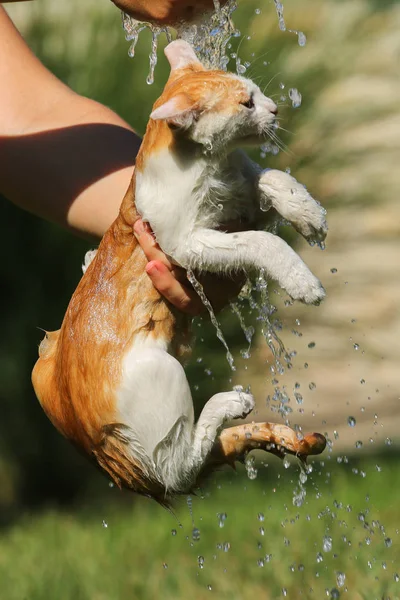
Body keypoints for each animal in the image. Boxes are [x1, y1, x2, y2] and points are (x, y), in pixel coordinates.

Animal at [32, 38, 328, 506]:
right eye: (246, 103)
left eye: (256, 92)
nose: (276, 109)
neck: (213, 167)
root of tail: (106, 458)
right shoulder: (190, 244)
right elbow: (262, 241)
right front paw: (302, 280)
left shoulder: (241, 199)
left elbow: (273, 177)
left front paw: (308, 213)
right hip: (161, 374)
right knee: (177, 469)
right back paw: (228, 404)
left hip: (43, 368)